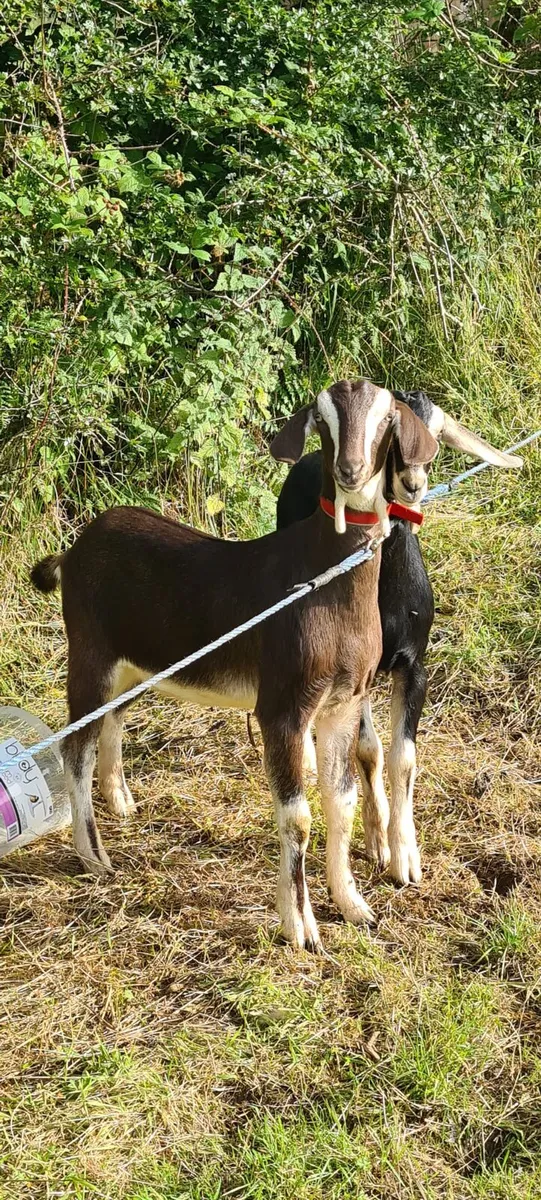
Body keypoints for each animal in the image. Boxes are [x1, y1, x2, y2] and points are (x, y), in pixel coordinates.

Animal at [31, 380, 439, 952]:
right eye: (323, 419)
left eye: (385, 419)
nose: (351, 471)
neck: (328, 580)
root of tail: (72, 551)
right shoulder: (284, 706)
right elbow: (298, 818)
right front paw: (301, 929)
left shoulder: (341, 704)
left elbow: (341, 801)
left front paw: (354, 906)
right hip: (90, 652)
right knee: (75, 748)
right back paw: (95, 856)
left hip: (135, 665)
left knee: (113, 719)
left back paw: (122, 802)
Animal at [276, 391, 522, 885]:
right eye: (391, 434)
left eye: (435, 438)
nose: (412, 483)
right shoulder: (357, 676)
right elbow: (368, 750)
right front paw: (378, 840)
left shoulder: (414, 666)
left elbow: (401, 757)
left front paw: (405, 852)